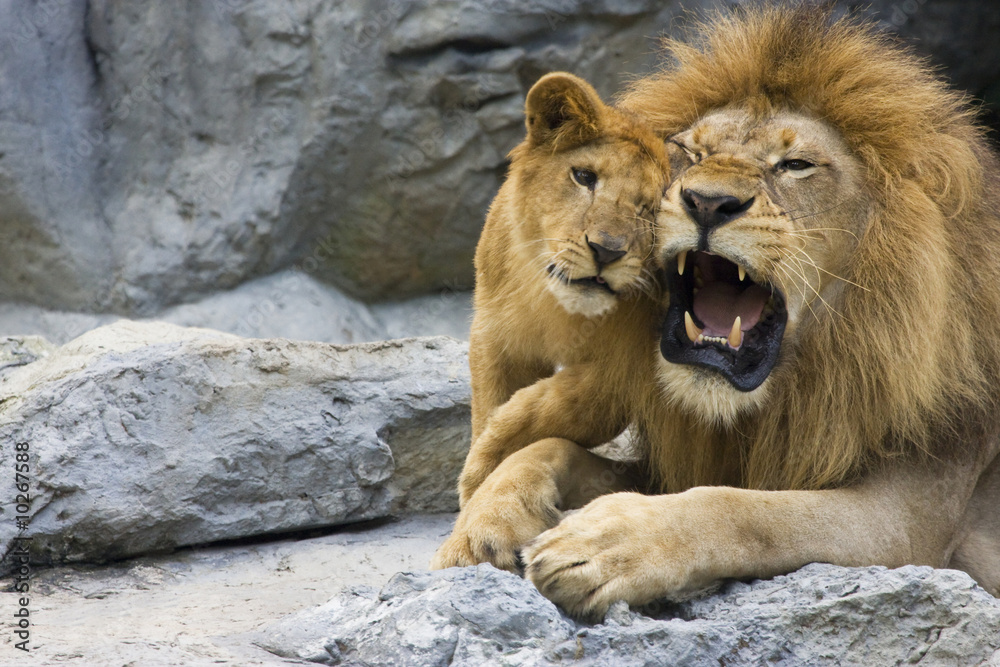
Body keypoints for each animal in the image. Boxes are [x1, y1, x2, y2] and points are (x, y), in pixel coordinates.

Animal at [430, 73, 669, 570]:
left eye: (651, 206)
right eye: (584, 177)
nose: (607, 250)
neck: (560, 308)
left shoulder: (632, 365)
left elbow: (563, 406)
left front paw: (485, 465)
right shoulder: (495, 337)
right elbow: (490, 404)